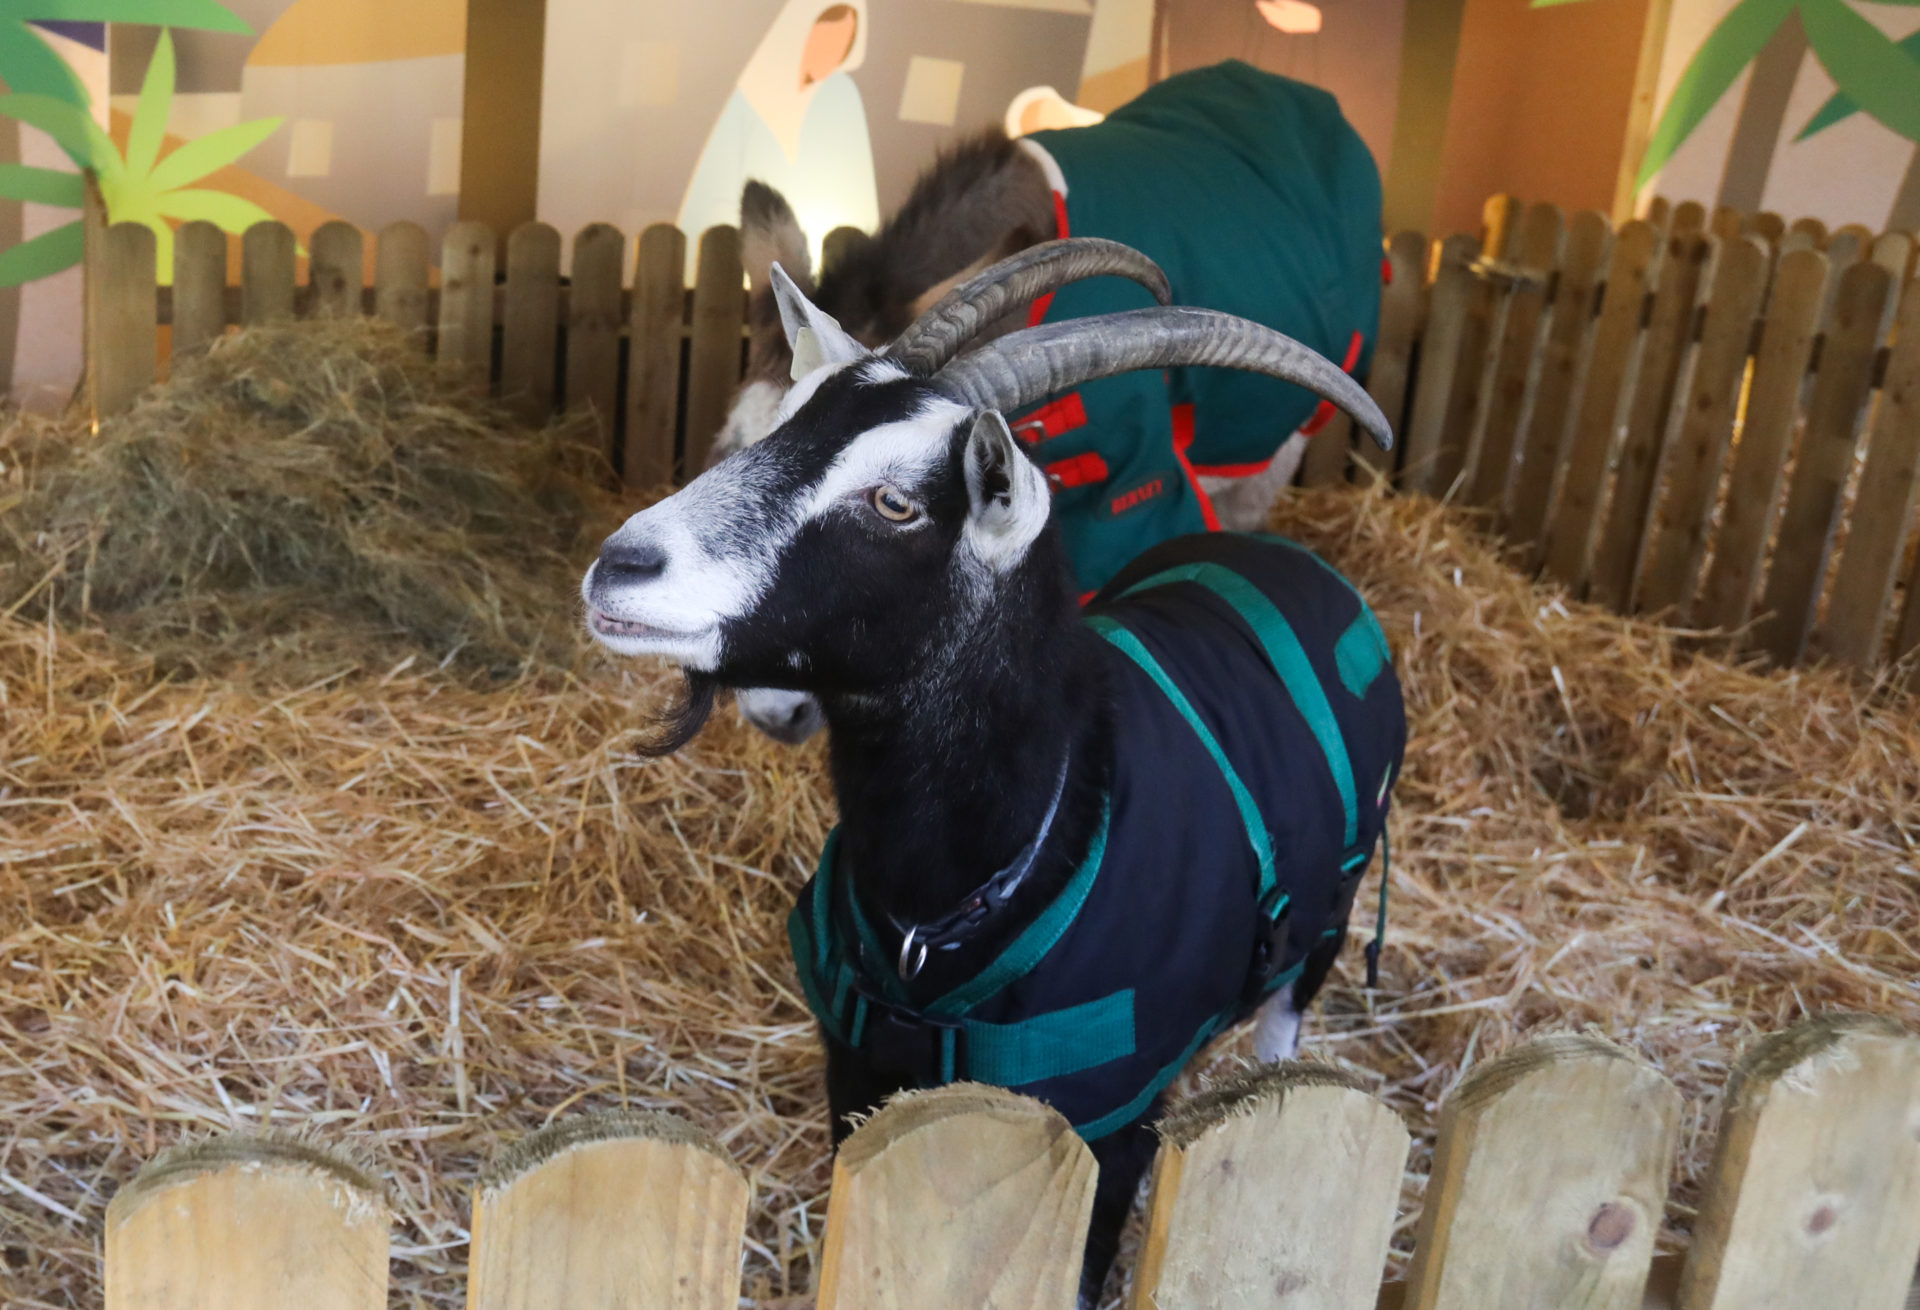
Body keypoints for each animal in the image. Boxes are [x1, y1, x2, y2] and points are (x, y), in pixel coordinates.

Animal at [576, 242, 1405, 1298]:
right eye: (782, 425)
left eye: (897, 501)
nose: (622, 564)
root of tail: (1295, 562)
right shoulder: (857, 1069)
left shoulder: (1116, 1120)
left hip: (1332, 916)